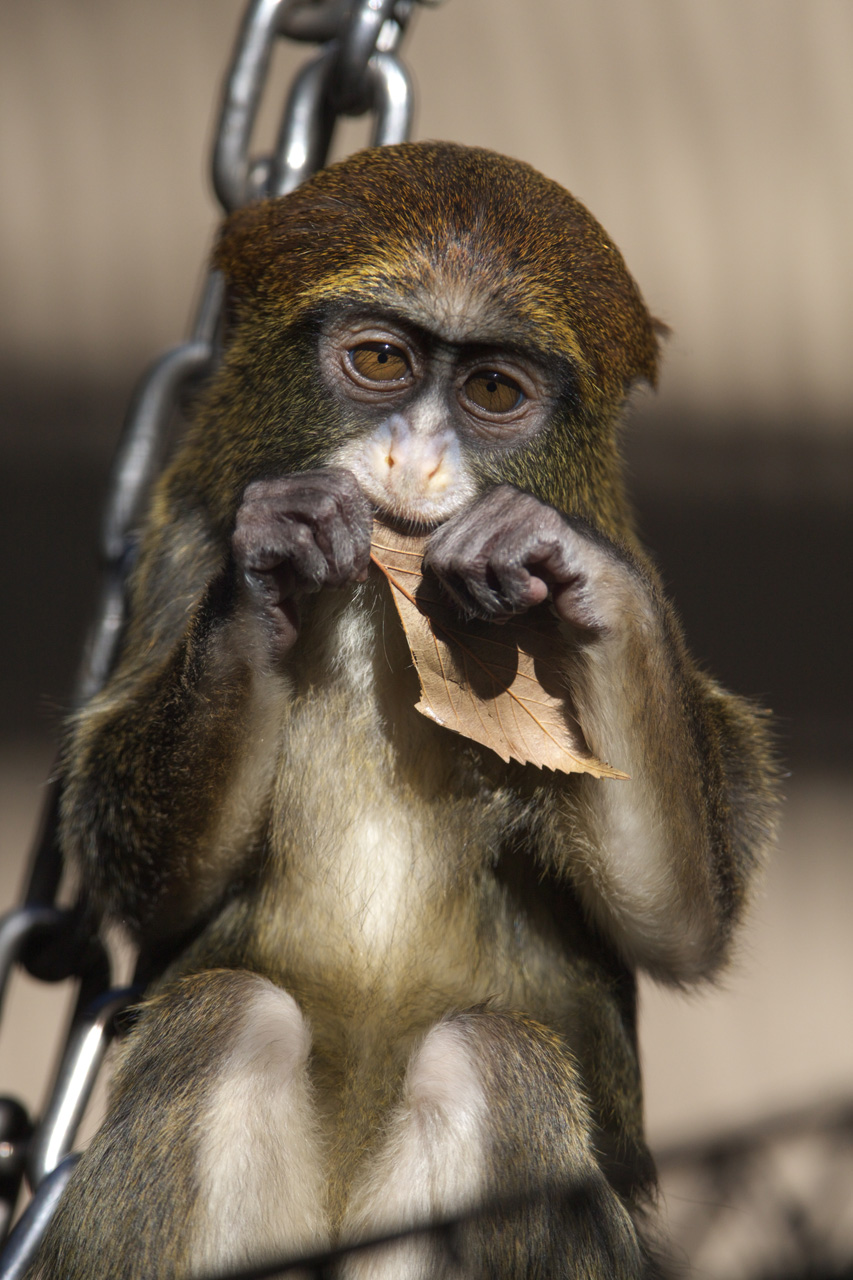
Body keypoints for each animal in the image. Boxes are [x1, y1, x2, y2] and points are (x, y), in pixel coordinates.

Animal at [28, 142, 778, 1280]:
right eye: (381, 360)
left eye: (492, 389)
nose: (414, 458)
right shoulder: (181, 536)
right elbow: (146, 878)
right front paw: (270, 563)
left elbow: (677, 919)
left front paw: (564, 560)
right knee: (224, 1017)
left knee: (498, 1057)